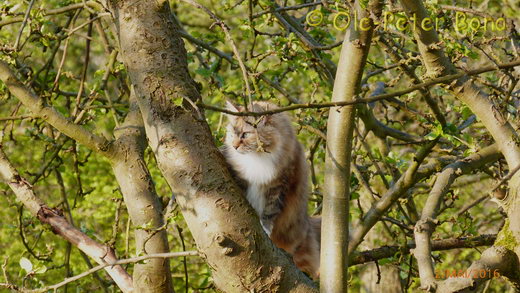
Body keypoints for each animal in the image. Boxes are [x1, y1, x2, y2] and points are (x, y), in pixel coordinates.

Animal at [220, 101, 320, 278]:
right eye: (232, 134)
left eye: (245, 135)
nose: (234, 146)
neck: (257, 158)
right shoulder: (241, 179)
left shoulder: (279, 184)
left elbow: (269, 212)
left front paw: (265, 228)